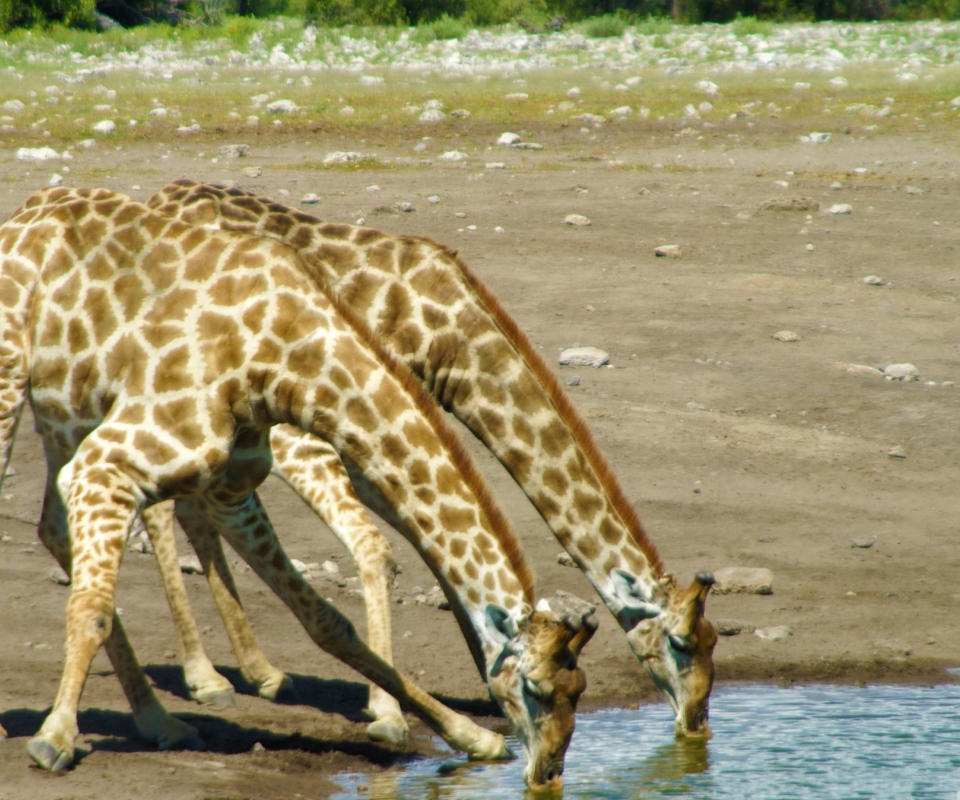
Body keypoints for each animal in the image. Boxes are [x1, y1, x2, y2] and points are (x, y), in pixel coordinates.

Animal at [0, 189, 592, 788]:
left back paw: (161, 721)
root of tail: (28, 207)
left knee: (53, 527)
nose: (549, 772)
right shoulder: (107, 462)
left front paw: (468, 736)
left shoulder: (227, 486)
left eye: (579, 690)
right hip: (13, 385)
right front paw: (55, 737)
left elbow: (329, 622)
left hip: (66, 417)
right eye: (537, 689)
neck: (287, 360)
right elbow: (92, 608)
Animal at [146, 181, 716, 736]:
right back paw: (206, 679)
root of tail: (160, 196)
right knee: (163, 505)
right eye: (682, 643)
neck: (450, 340)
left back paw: (256, 672)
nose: (696, 723)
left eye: (713, 642)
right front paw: (389, 709)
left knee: (189, 505)